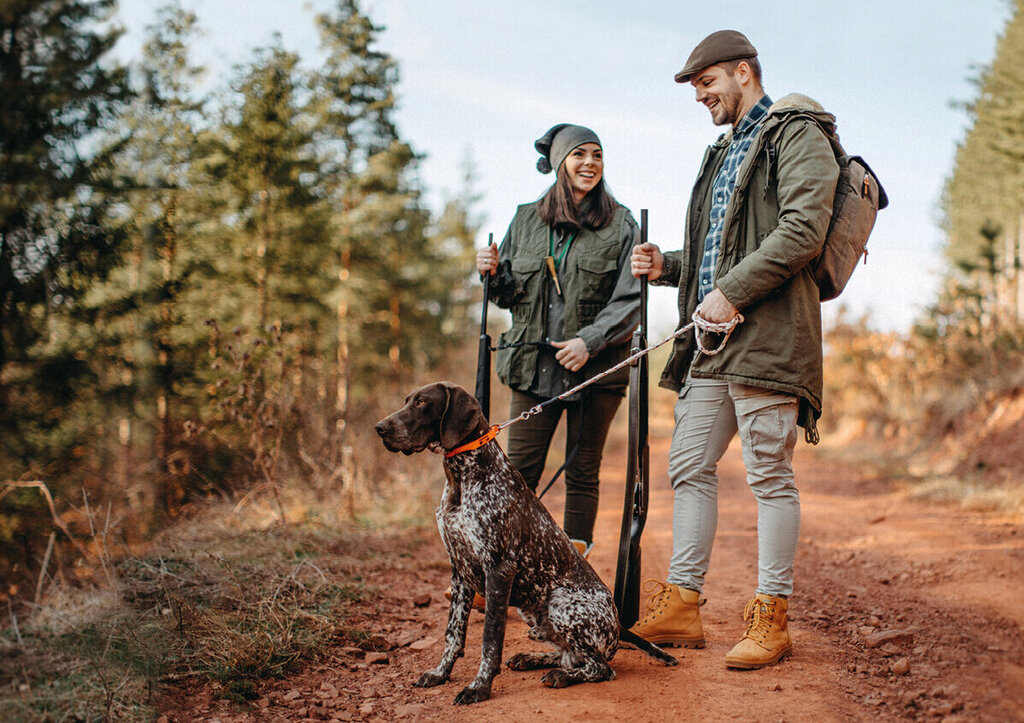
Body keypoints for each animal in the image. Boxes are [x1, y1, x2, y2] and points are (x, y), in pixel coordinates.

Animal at [372, 383, 675, 704]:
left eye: (421, 402)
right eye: (407, 400)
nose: (379, 428)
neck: (463, 478)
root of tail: (617, 624)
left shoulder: (498, 569)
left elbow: (490, 639)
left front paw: (479, 687)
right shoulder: (460, 571)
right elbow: (453, 634)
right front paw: (440, 673)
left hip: (562, 604)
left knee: (600, 667)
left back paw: (562, 676)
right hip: (532, 613)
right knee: (570, 655)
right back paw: (533, 659)